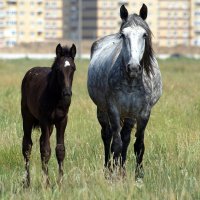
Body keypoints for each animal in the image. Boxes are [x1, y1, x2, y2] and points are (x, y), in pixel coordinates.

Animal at [86, 4, 162, 180]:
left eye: (144, 34)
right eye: (123, 35)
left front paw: (138, 176)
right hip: (102, 110)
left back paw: (123, 169)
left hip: (129, 114)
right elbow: (116, 143)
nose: (133, 68)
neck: (132, 82)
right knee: (107, 136)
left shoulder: (143, 112)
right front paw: (114, 175)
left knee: (126, 137)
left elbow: (138, 144)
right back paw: (108, 169)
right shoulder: (113, 109)